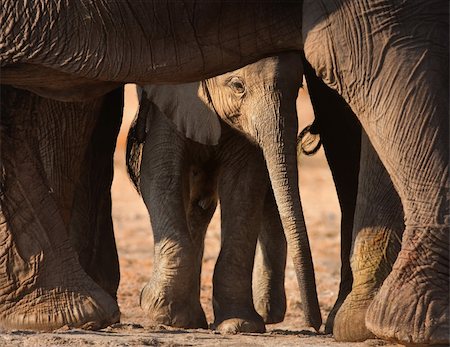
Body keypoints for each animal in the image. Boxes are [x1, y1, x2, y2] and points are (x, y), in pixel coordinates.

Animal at [1, 1, 448, 346]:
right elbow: (160, 178)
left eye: (298, 88)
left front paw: (239, 325)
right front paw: (158, 309)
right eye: (237, 86)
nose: (314, 323)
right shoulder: (173, 106)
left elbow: (245, 188)